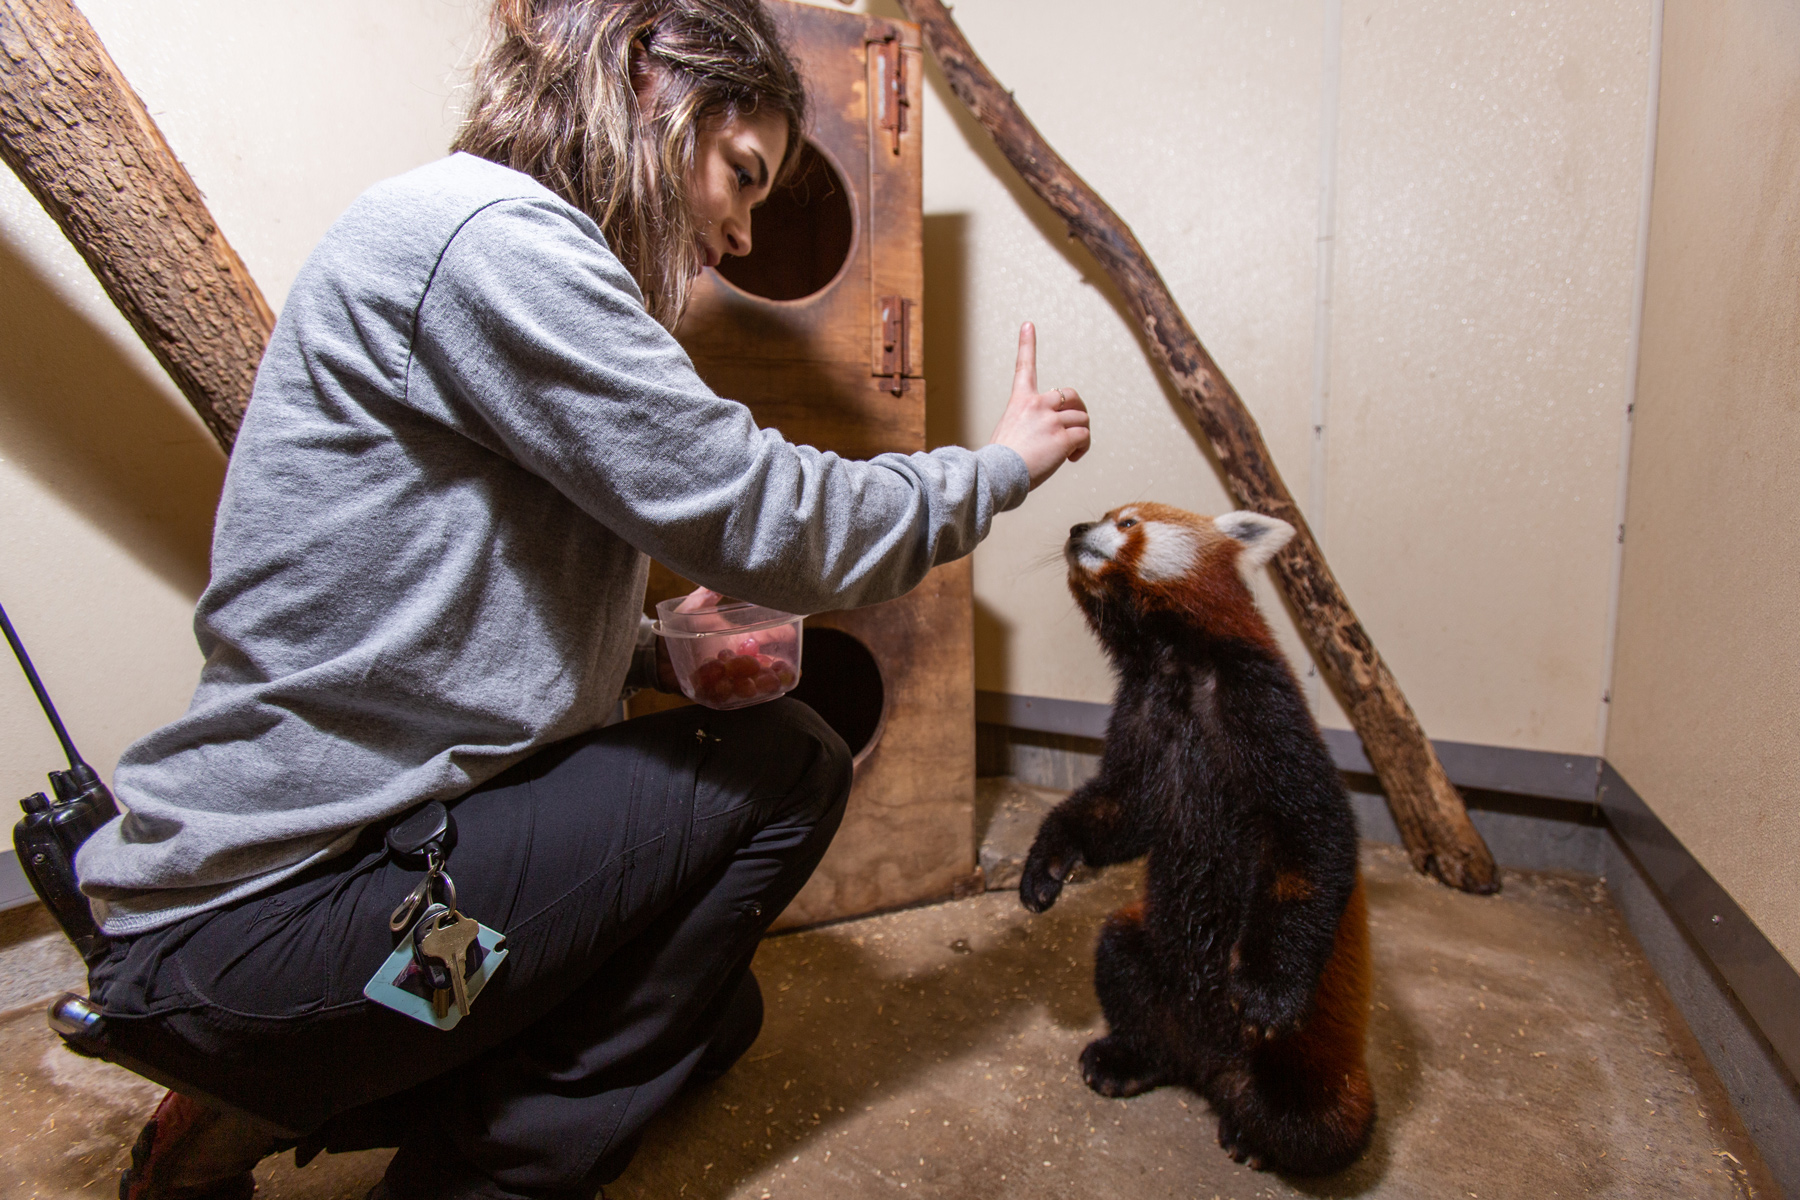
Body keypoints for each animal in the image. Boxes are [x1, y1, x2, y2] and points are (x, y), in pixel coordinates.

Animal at [1022, 503, 1368, 1180]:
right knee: (1119, 954)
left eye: (1127, 522)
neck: (1172, 664)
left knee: (1311, 1123)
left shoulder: (1263, 704)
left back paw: (1257, 1136)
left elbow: (1315, 839)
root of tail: (1211, 1069)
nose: (1076, 529)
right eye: (1103, 517)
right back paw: (1133, 1060)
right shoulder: (1141, 716)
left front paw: (1266, 994)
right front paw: (1046, 863)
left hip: (1314, 1064)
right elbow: (1120, 810)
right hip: (1150, 958)